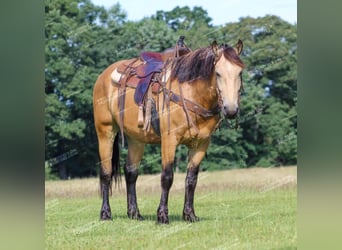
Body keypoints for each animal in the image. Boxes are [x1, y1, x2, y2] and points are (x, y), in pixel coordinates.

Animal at [92, 39, 244, 225]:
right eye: (218, 73)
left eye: (240, 72)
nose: (231, 109)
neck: (192, 93)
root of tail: (103, 76)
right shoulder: (169, 140)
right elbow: (167, 177)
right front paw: (162, 216)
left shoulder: (201, 144)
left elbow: (191, 179)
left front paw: (189, 215)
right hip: (105, 132)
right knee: (106, 173)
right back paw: (105, 213)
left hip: (136, 139)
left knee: (131, 172)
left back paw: (134, 213)